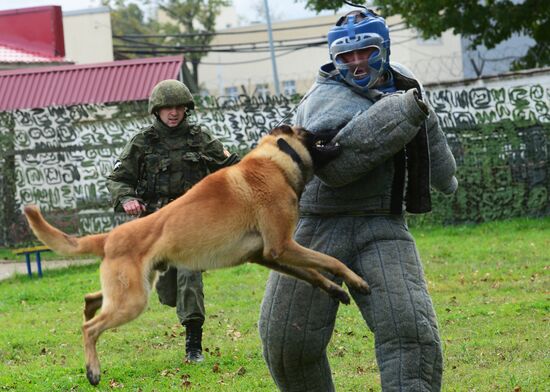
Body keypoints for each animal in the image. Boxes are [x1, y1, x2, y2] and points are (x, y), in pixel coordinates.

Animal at [24, 125, 370, 386]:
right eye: (311, 132)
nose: (334, 128)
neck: (276, 161)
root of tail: (110, 237)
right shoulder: (282, 246)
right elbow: (332, 261)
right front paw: (357, 282)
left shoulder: (268, 255)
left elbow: (313, 273)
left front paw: (337, 290)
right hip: (133, 300)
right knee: (90, 329)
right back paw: (93, 370)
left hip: (134, 288)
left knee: (92, 300)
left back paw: (88, 309)